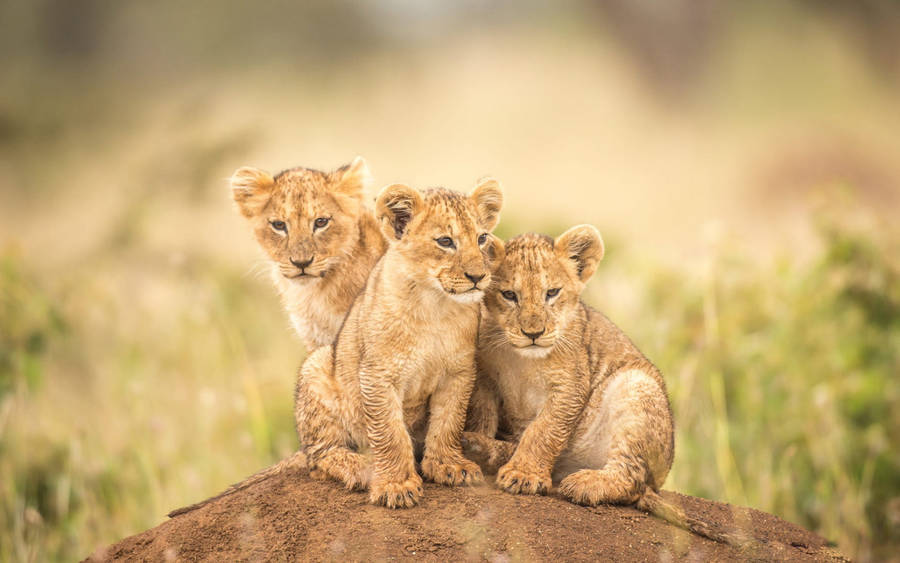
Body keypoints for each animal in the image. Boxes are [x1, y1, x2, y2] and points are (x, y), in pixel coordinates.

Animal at [463, 227, 754, 547]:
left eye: (552, 293)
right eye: (509, 295)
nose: (533, 333)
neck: (522, 359)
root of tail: (657, 485)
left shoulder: (571, 384)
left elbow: (544, 430)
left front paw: (524, 475)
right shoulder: (486, 379)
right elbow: (484, 417)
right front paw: (482, 451)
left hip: (637, 386)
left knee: (631, 482)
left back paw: (585, 483)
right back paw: (476, 447)